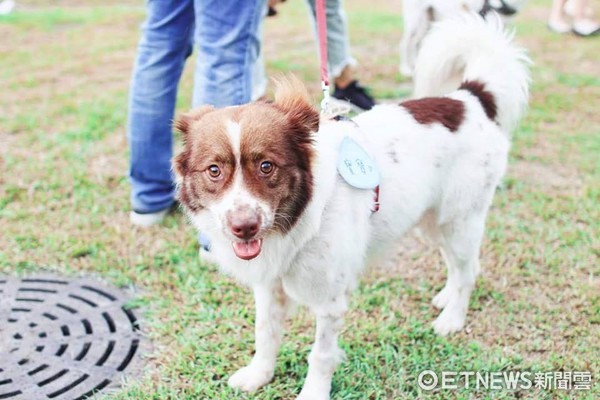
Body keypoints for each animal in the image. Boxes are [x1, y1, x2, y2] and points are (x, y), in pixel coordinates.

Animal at [173, 13, 528, 400]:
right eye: (214, 170)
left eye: (266, 166)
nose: (244, 227)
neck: (300, 217)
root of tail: (471, 98)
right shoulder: (269, 286)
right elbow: (265, 332)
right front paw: (258, 375)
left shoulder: (329, 299)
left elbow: (321, 355)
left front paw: (313, 393)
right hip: (433, 220)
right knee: (457, 263)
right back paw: (445, 298)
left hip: (459, 218)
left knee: (468, 269)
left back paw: (452, 318)